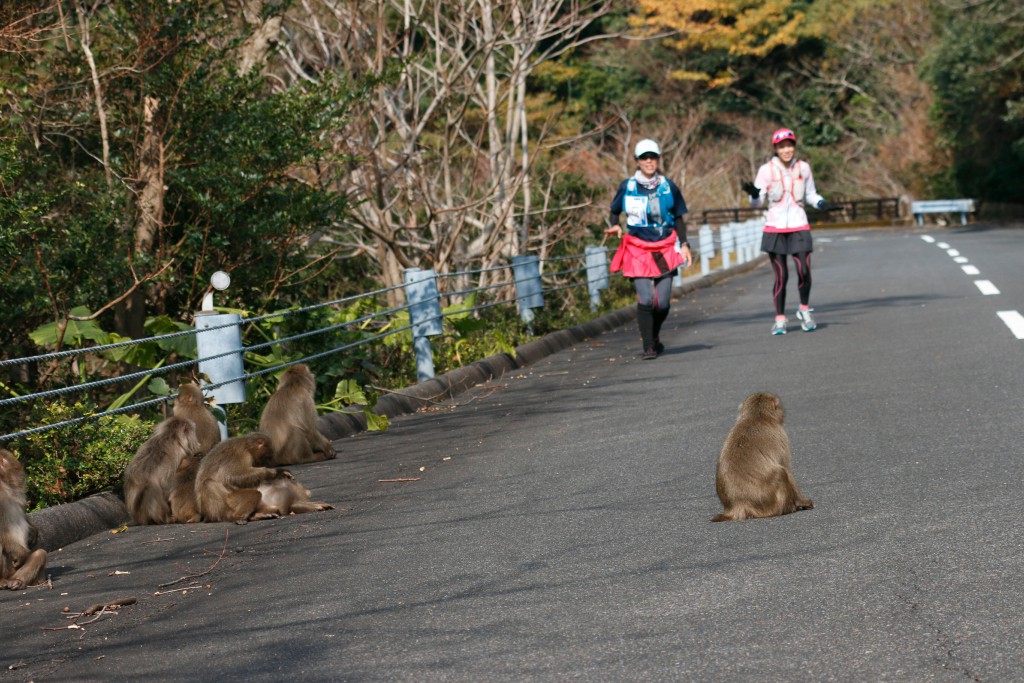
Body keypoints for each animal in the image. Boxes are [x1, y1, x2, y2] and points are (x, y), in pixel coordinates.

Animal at [0, 448, 47, 589]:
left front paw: (34, 530)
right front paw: (20, 553)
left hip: (15, 570)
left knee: (40, 553)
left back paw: (18, 582)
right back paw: (2, 581)